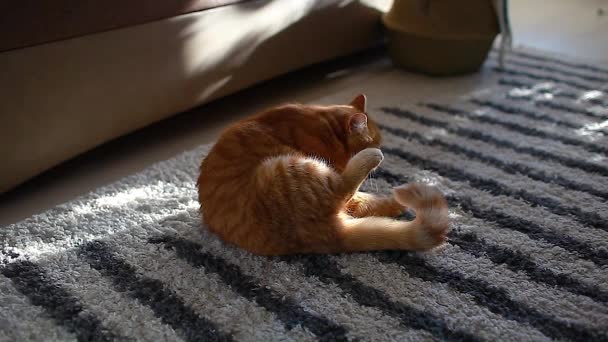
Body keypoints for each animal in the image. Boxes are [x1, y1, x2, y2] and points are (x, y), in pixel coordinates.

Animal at [197, 95, 448, 255]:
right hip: (290, 169)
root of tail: (328, 234)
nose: (381, 150)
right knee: (344, 189)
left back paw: (396, 203)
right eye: (376, 141)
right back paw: (372, 162)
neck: (324, 128)